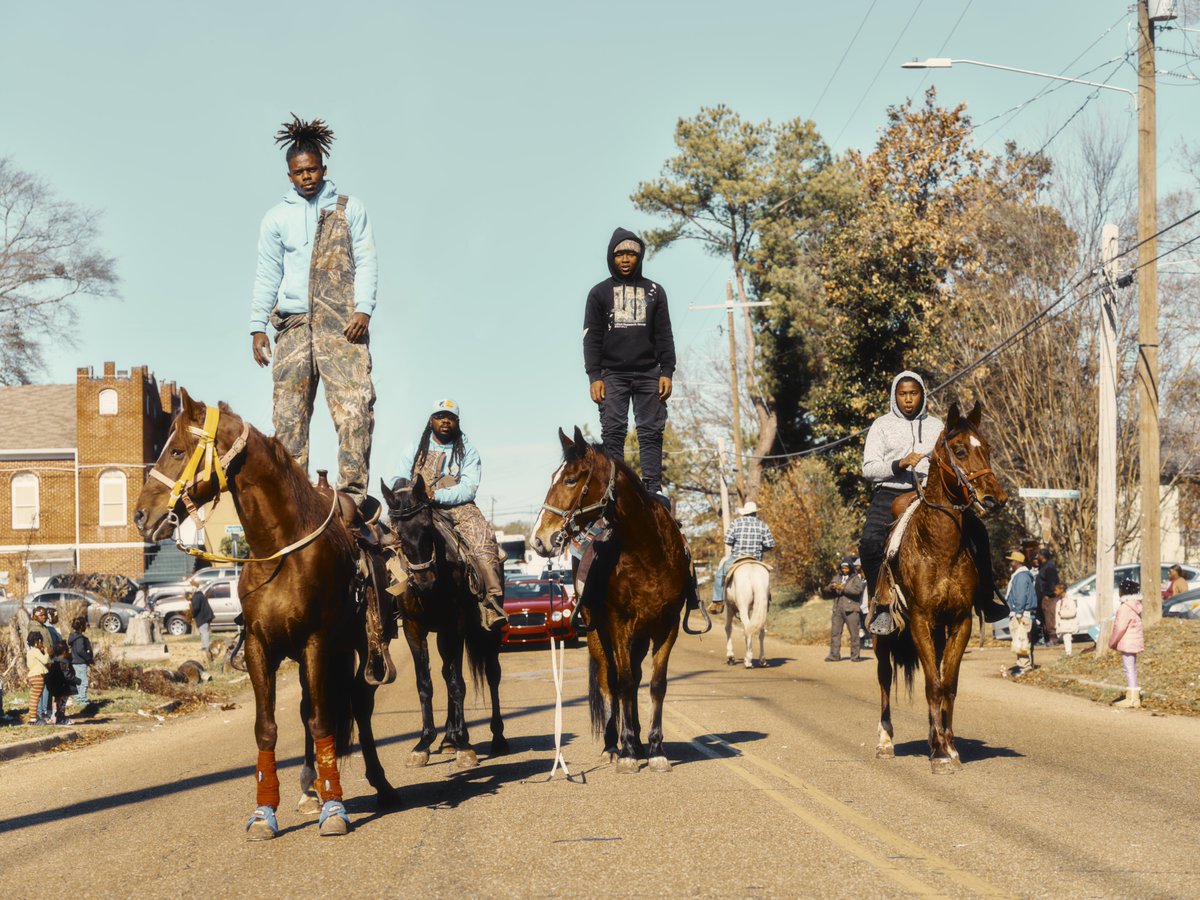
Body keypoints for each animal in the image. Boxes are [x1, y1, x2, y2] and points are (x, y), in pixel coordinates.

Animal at [134, 391, 398, 844]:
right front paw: (264, 813)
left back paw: (378, 783)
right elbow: (268, 727)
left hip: (361, 649)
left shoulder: (315, 642)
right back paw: (310, 786)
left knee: (358, 707)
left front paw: (334, 809)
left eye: (178, 451)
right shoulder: (261, 648)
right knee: (312, 708)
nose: (139, 514)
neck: (280, 549)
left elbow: (323, 722)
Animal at [532, 429, 700, 777]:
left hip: (639, 638)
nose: (539, 539)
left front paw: (656, 749)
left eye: (570, 479)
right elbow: (622, 683)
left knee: (634, 679)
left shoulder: (667, 626)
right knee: (610, 680)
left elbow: (656, 684)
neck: (648, 551)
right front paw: (628, 752)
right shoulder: (619, 623)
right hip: (599, 636)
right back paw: (615, 745)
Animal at [873, 400, 1003, 777]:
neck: (939, 547)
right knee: (884, 677)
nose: (995, 500)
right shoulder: (918, 619)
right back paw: (885, 741)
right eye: (959, 451)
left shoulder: (960, 621)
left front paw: (947, 745)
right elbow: (932, 683)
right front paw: (940, 754)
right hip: (884, 635)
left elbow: (948, 683)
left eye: (987, 449)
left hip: (940, 630)